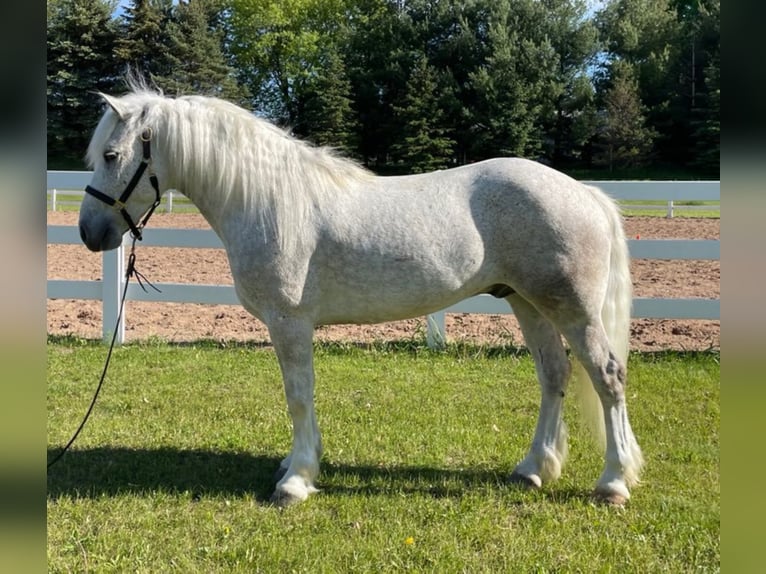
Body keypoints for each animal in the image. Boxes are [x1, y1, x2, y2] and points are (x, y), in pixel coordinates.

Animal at [78, 84, 644, 508]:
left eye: (110, 154)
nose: (89, 233)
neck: (271, 200)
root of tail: (585, 193)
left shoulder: (289, 322)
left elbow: (298, 396)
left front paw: (296, 480)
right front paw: (298, 465)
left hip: (572, 309)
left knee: (607, 377)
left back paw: (613, 483)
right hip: (528, 303)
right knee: (555, 376)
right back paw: (532, 469)